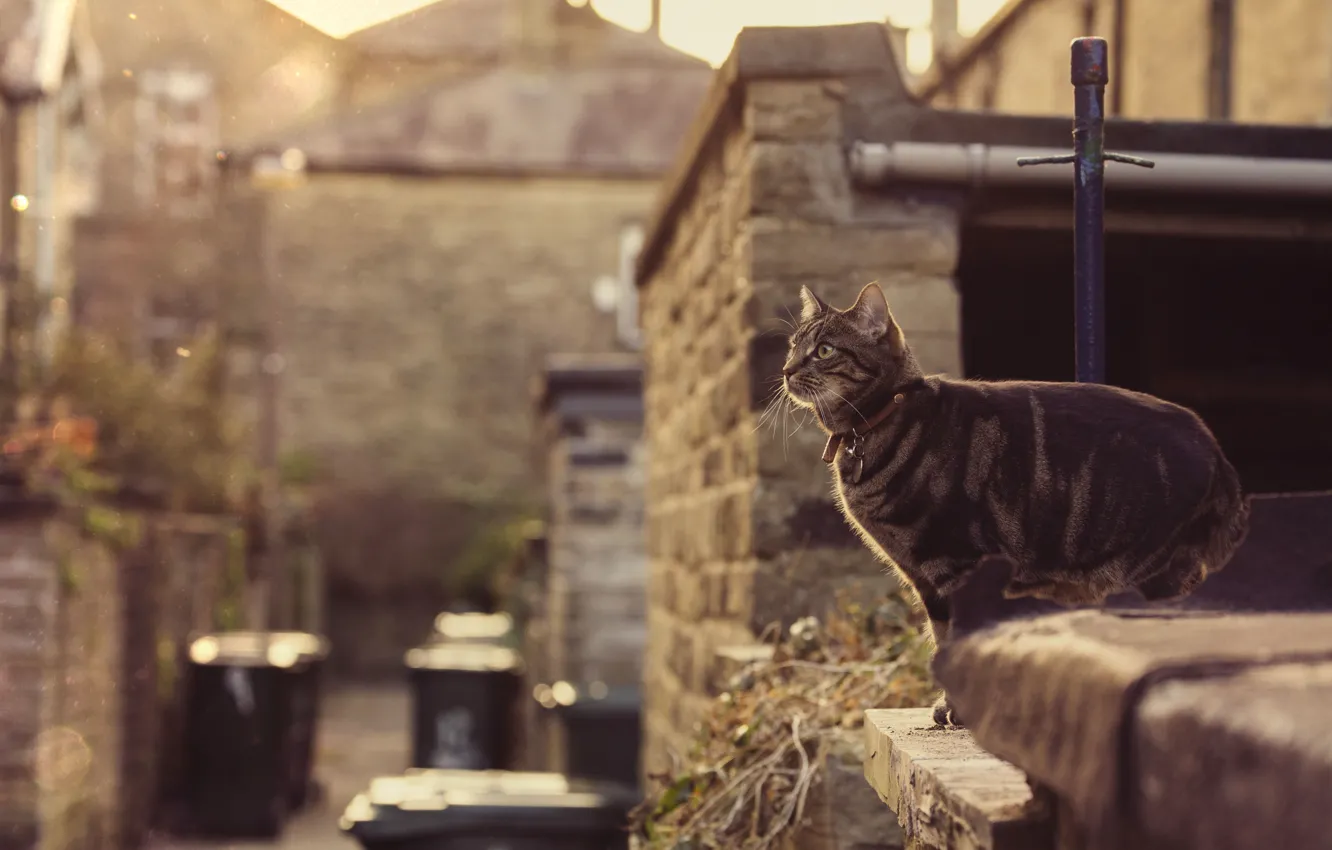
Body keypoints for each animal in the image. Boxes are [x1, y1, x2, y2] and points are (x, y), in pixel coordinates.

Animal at [777, 282, 1246, 730]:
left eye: (823, 350)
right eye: (793, 346)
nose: (785, 370)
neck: (876, 424)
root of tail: (1218, 451)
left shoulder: (954, 563)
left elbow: (956, 639)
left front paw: (960, 709)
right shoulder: (925, 579)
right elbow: (941, 635)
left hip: (1153, 574)